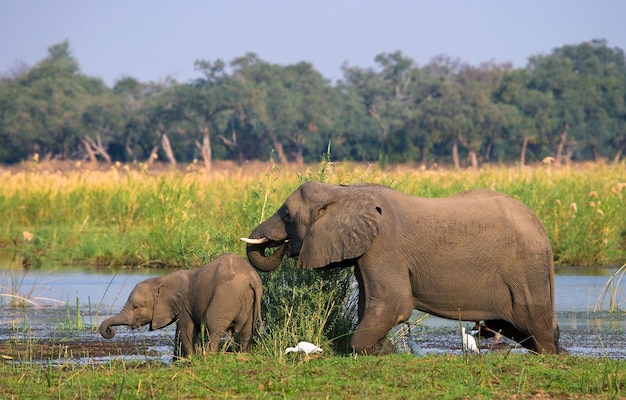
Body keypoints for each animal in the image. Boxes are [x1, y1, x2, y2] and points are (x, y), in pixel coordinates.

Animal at [99, 253, 264, 360]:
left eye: (136, 306)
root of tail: (252, 278)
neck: (160, 280)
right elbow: (179, 333)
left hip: (226, 297)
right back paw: (244, 354)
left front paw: (190, 360)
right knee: (247, 330)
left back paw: (208, 356)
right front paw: (178, 361)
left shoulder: (183, 305)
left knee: (213, 326)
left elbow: (186, 331)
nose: (109, 331)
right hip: (250, 301)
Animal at [240, 181, 560, 354]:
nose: (282, 244)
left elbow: (394, 303)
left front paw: (379, 350)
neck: (346, 191)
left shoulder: (384, 246)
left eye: (286, 214)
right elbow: (370, 302)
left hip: (525, 270)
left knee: (534, 321)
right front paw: (384, 350)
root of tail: (542, 228)